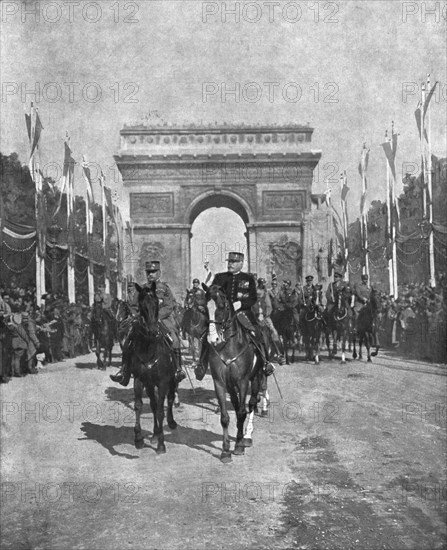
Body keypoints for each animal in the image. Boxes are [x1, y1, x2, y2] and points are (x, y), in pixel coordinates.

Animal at [128, 282, 178, 454]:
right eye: (141, 305)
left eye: (157, 303)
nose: (152, 331)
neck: (149, 348)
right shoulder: (139, 379)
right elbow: (139, 406)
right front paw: (138, 438)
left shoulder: (163, 382)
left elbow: (161, 410)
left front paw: (161, 444)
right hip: (149, 384)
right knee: (153, 404)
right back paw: (155, 433)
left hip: (172, 381)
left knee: (169, 400)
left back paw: (171, 422)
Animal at [206, 286, 266, 464]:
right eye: (204, 307)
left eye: (221, 306)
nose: (213, 339)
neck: (228, 346)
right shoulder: (219, 382)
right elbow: (225, 417)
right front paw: (225, 451)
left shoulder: (243, 381)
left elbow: (241, 412)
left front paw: (238, 445)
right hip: (231, 385)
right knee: (236, 402)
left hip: (256, 378)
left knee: (251, 404)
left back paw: (246, 437)